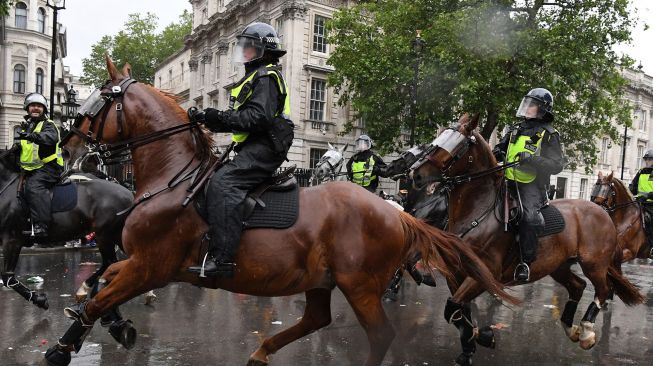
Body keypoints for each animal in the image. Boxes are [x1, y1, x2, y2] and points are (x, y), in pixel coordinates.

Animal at [0, 146, 136, 308]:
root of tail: (130, 194)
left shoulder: (12, 240)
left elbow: (8, 278)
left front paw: (40, 300)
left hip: (106, 235)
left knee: (116, 261)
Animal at [43, 56, 516, 366]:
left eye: (96, 102)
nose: (66, 143)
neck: (174, 178)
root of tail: (397, 212)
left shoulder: (152, 266)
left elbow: (100, 297)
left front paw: (61, 348)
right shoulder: (141, 264)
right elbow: (101, 281)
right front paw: (107, 321)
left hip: (360, 285)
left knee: (380, 334)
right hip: (322, 280)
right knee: (317, 318)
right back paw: (261, 351)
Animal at [410, 114, 644, 366]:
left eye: (458, 144)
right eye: (441, 135)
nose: (415, 174)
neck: (478, 212)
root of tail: (602, 211)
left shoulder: (483, 274)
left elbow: (453, 307)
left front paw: (482, 337)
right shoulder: (456, 274)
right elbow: (458, 312)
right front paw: (474, 343)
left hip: (594, 263)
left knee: (603, 290)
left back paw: (587, 331)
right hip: (559, 265)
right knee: (578, 286)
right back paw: (570, 328)